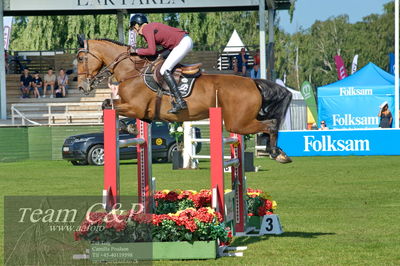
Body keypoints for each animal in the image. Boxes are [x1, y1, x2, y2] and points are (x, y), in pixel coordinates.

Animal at [76, 36, 292, 163]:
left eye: (80, 58)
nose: (82, 87)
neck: (132, 71)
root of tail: (253, 82)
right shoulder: (139, 110)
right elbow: (110, 107)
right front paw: (131, 128)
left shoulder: (134, 106)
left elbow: (108, 106)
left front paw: (128, 128)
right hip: (241, 120)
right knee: (269, 124)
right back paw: (279, 151)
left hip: (237, 123)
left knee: (271, 124)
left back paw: (276, 153)